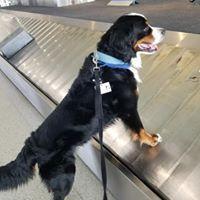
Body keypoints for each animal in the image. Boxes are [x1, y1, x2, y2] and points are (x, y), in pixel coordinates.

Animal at [0, 13, 165, 200]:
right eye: (145, 28)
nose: (164, 31)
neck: (111, 62)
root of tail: (31, 145)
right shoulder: (129, 107)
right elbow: (139, 128)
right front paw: (151, 140)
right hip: (64, 173)